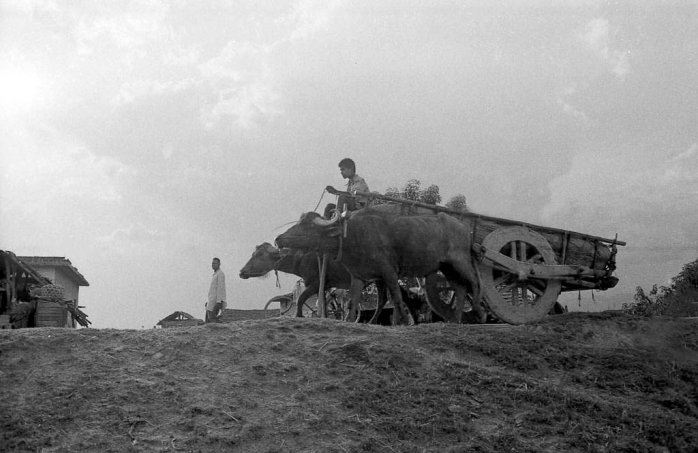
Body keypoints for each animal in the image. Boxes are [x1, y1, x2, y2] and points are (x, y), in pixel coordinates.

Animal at [274, 207, 484, 324]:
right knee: (460, 288)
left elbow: (396, 297)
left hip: (460, 262)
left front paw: (405, 321)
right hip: (447, 268)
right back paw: (456, 319)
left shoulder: (389, 272)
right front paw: (350, 320)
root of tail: (464, 228)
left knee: (475, 282)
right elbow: (354, 300)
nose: (278, 238)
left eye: (307, 225)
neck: (351, 235)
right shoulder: (359, 276)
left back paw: (478, 312)